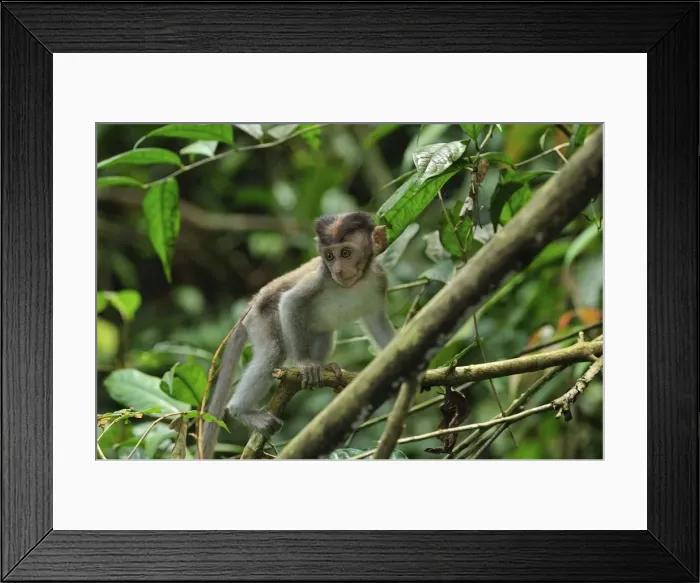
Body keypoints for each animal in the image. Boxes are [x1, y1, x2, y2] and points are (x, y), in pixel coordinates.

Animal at [200, 211, 395, 459]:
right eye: (329, 256)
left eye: (346, 253)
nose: (338, 270)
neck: (356, 282)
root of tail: (251, 305)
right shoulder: (321, 277)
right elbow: (291, 302)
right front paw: (304, 364)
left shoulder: (379, 280)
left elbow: (378, 323)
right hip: (262, 320)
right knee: (273, 352)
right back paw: (241, 410)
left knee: (324, 333)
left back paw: (325, 368)